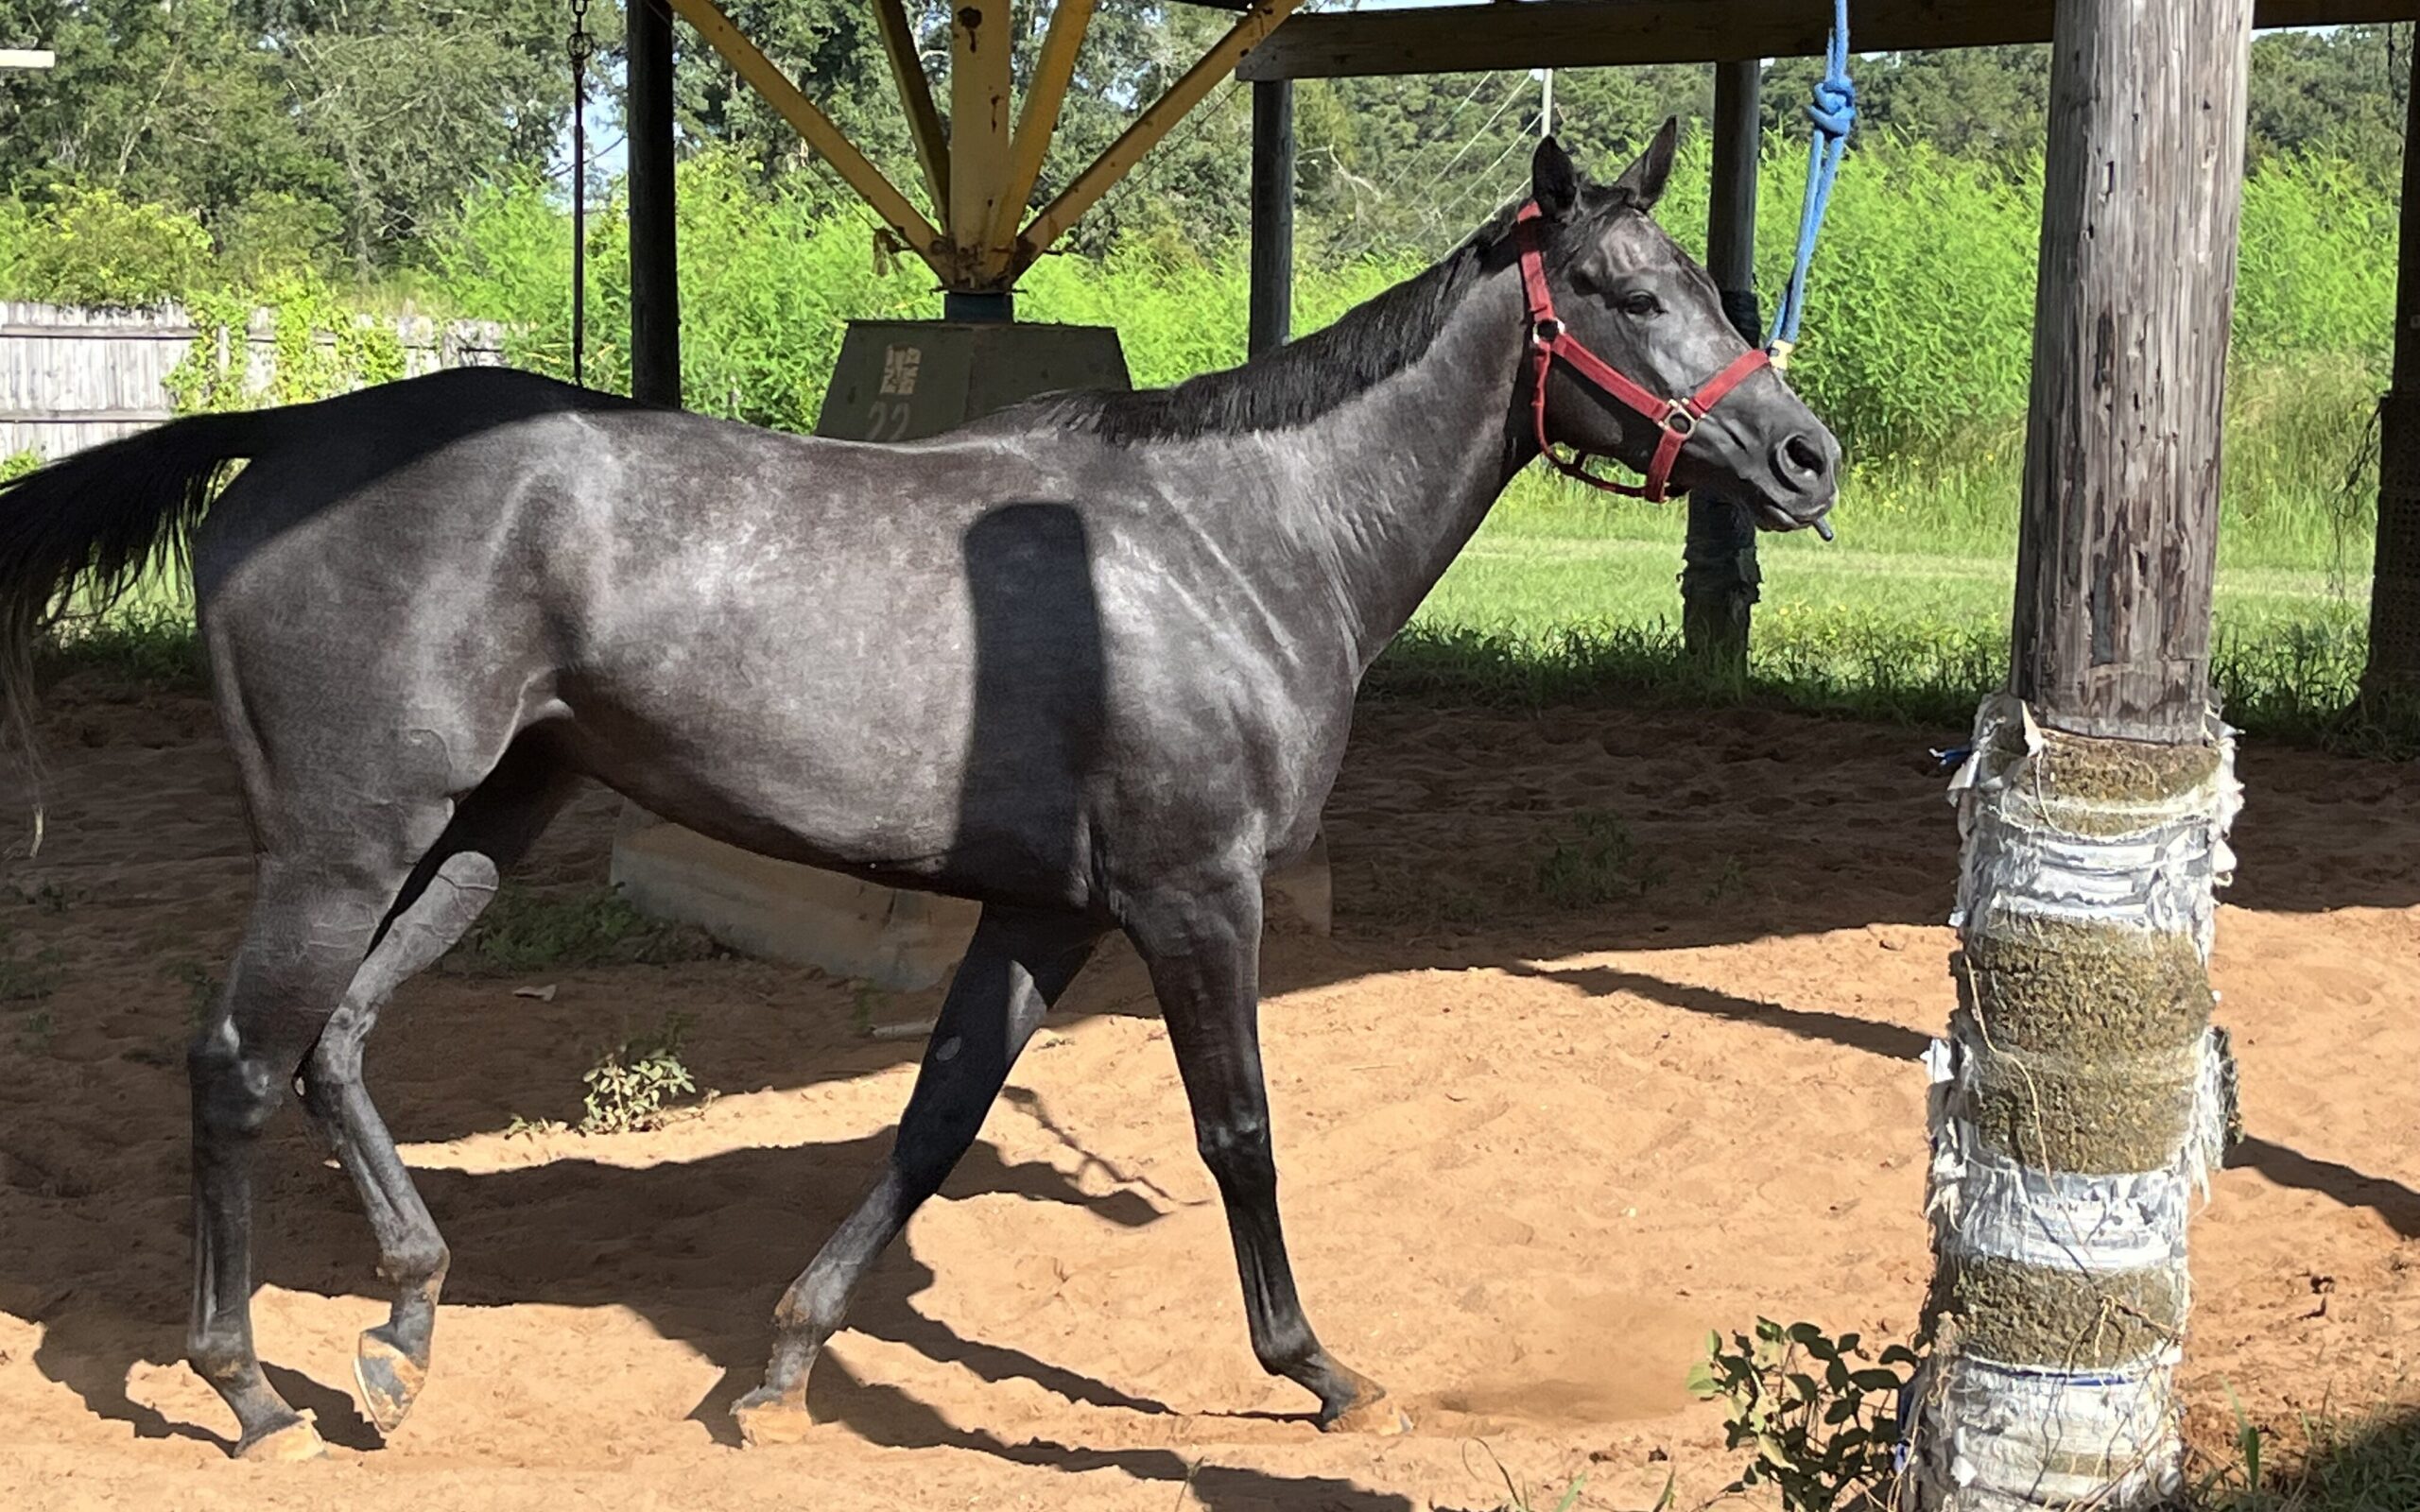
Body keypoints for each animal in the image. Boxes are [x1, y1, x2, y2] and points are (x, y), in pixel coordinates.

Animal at [0, 132, 1820, 1461]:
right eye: (1618, 289)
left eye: (1714, 282)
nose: (1807, 458)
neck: (1237, 543)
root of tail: (289, 433)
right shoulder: (1190, 895)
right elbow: (1240, 1133)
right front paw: (1321, 1369)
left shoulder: (1044, 910)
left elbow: (938, 1116)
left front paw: (783, 1367)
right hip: (341, 845)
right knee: (239, 1061)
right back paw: (247, 1390)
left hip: (480, 832)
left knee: (341, 1043)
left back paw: (403, 1328)